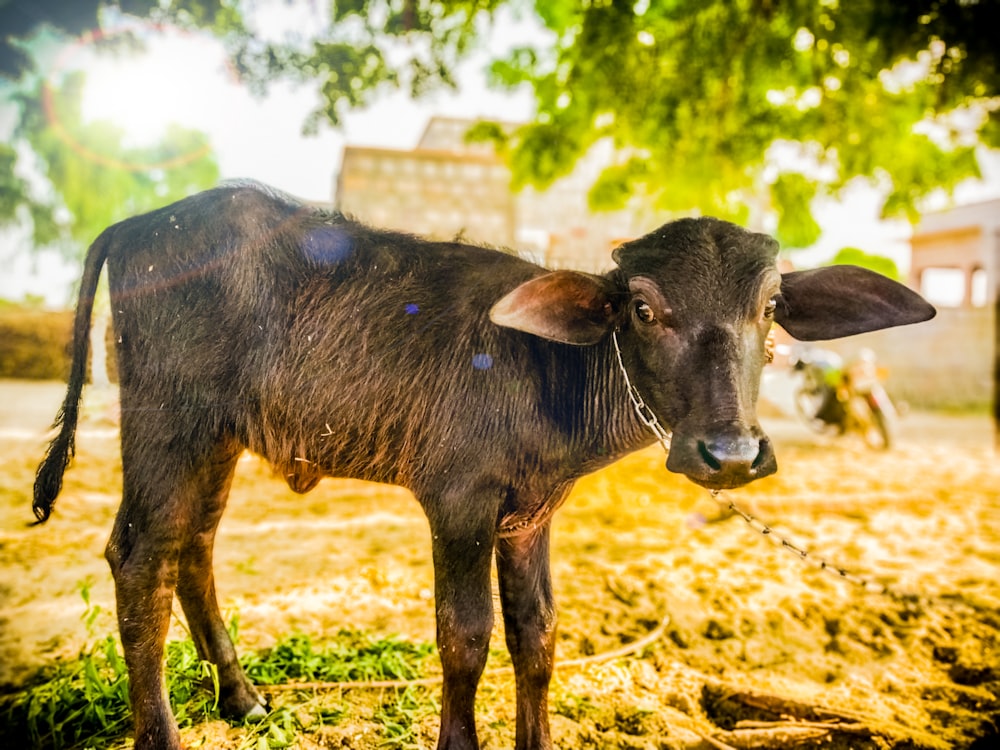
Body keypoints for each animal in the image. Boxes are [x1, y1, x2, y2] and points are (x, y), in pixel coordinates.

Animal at [33, 182, 936, 750]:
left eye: (771, 307)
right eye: (644, 308)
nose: (732, 452)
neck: (547, 369)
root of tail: (141, 226)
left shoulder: (532, 515)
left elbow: (538, 635)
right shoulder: (459, 503)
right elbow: (465, 638)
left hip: (216, 439)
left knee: (195, 548)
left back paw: (243, 697)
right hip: (166, 425)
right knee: (138, 557)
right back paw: (161, 735)